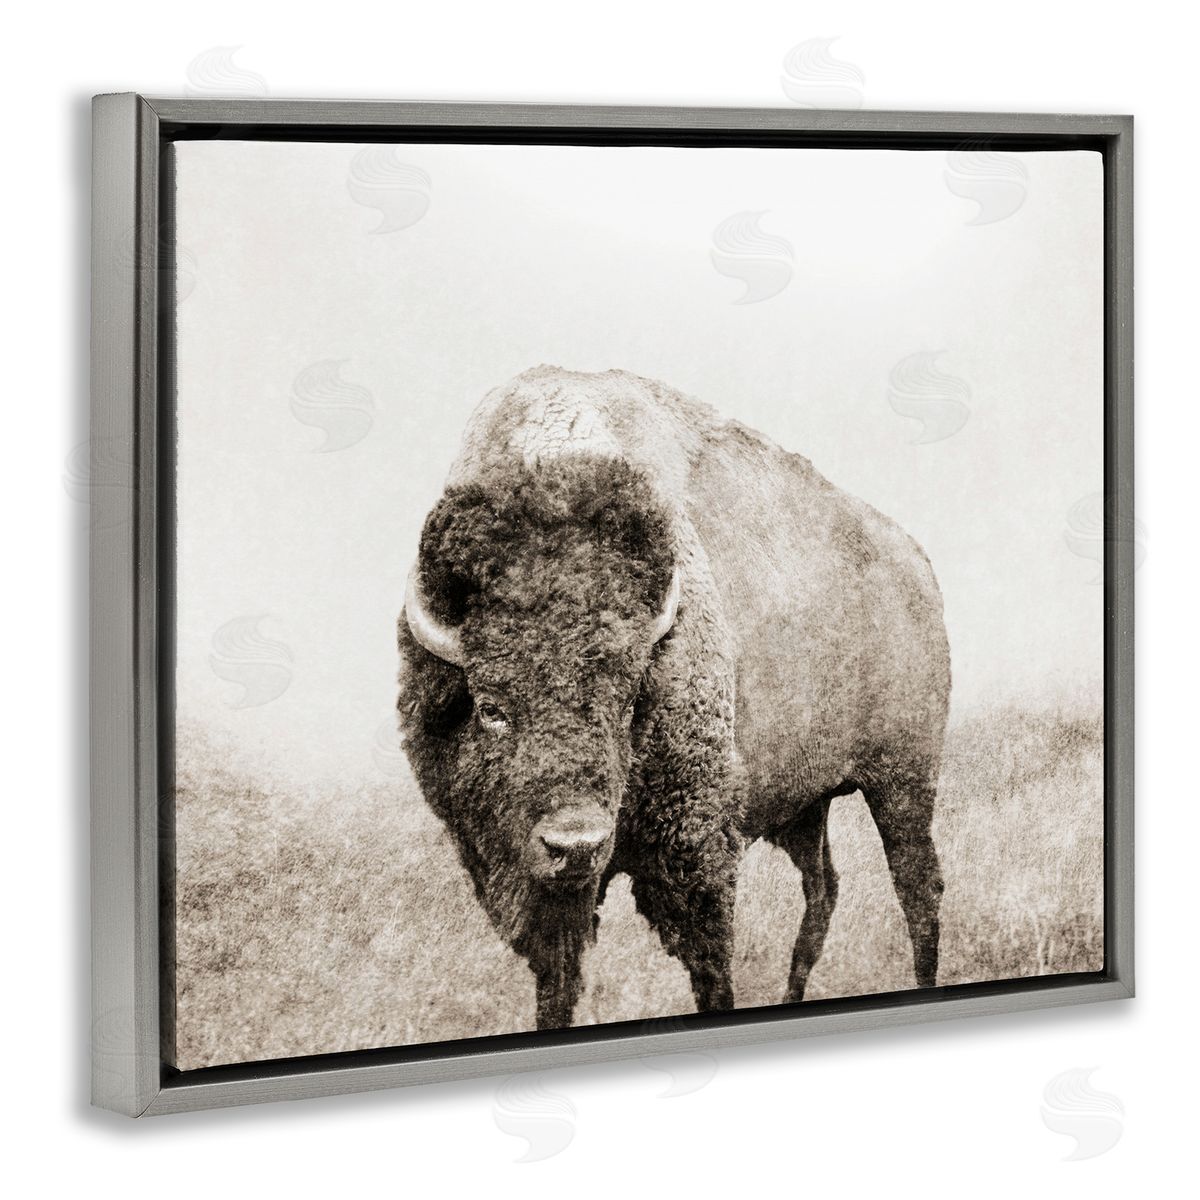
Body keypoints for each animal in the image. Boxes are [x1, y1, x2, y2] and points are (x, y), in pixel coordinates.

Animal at [398, 365, 950, 1029]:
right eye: (491, 709)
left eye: (629, 698)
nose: (576, 845)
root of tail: (916, 561)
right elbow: (557, 983)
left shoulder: (695, 853)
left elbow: (710, 966)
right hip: (807, 805)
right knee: (823, 890)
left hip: (902, 780)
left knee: (917, 887)